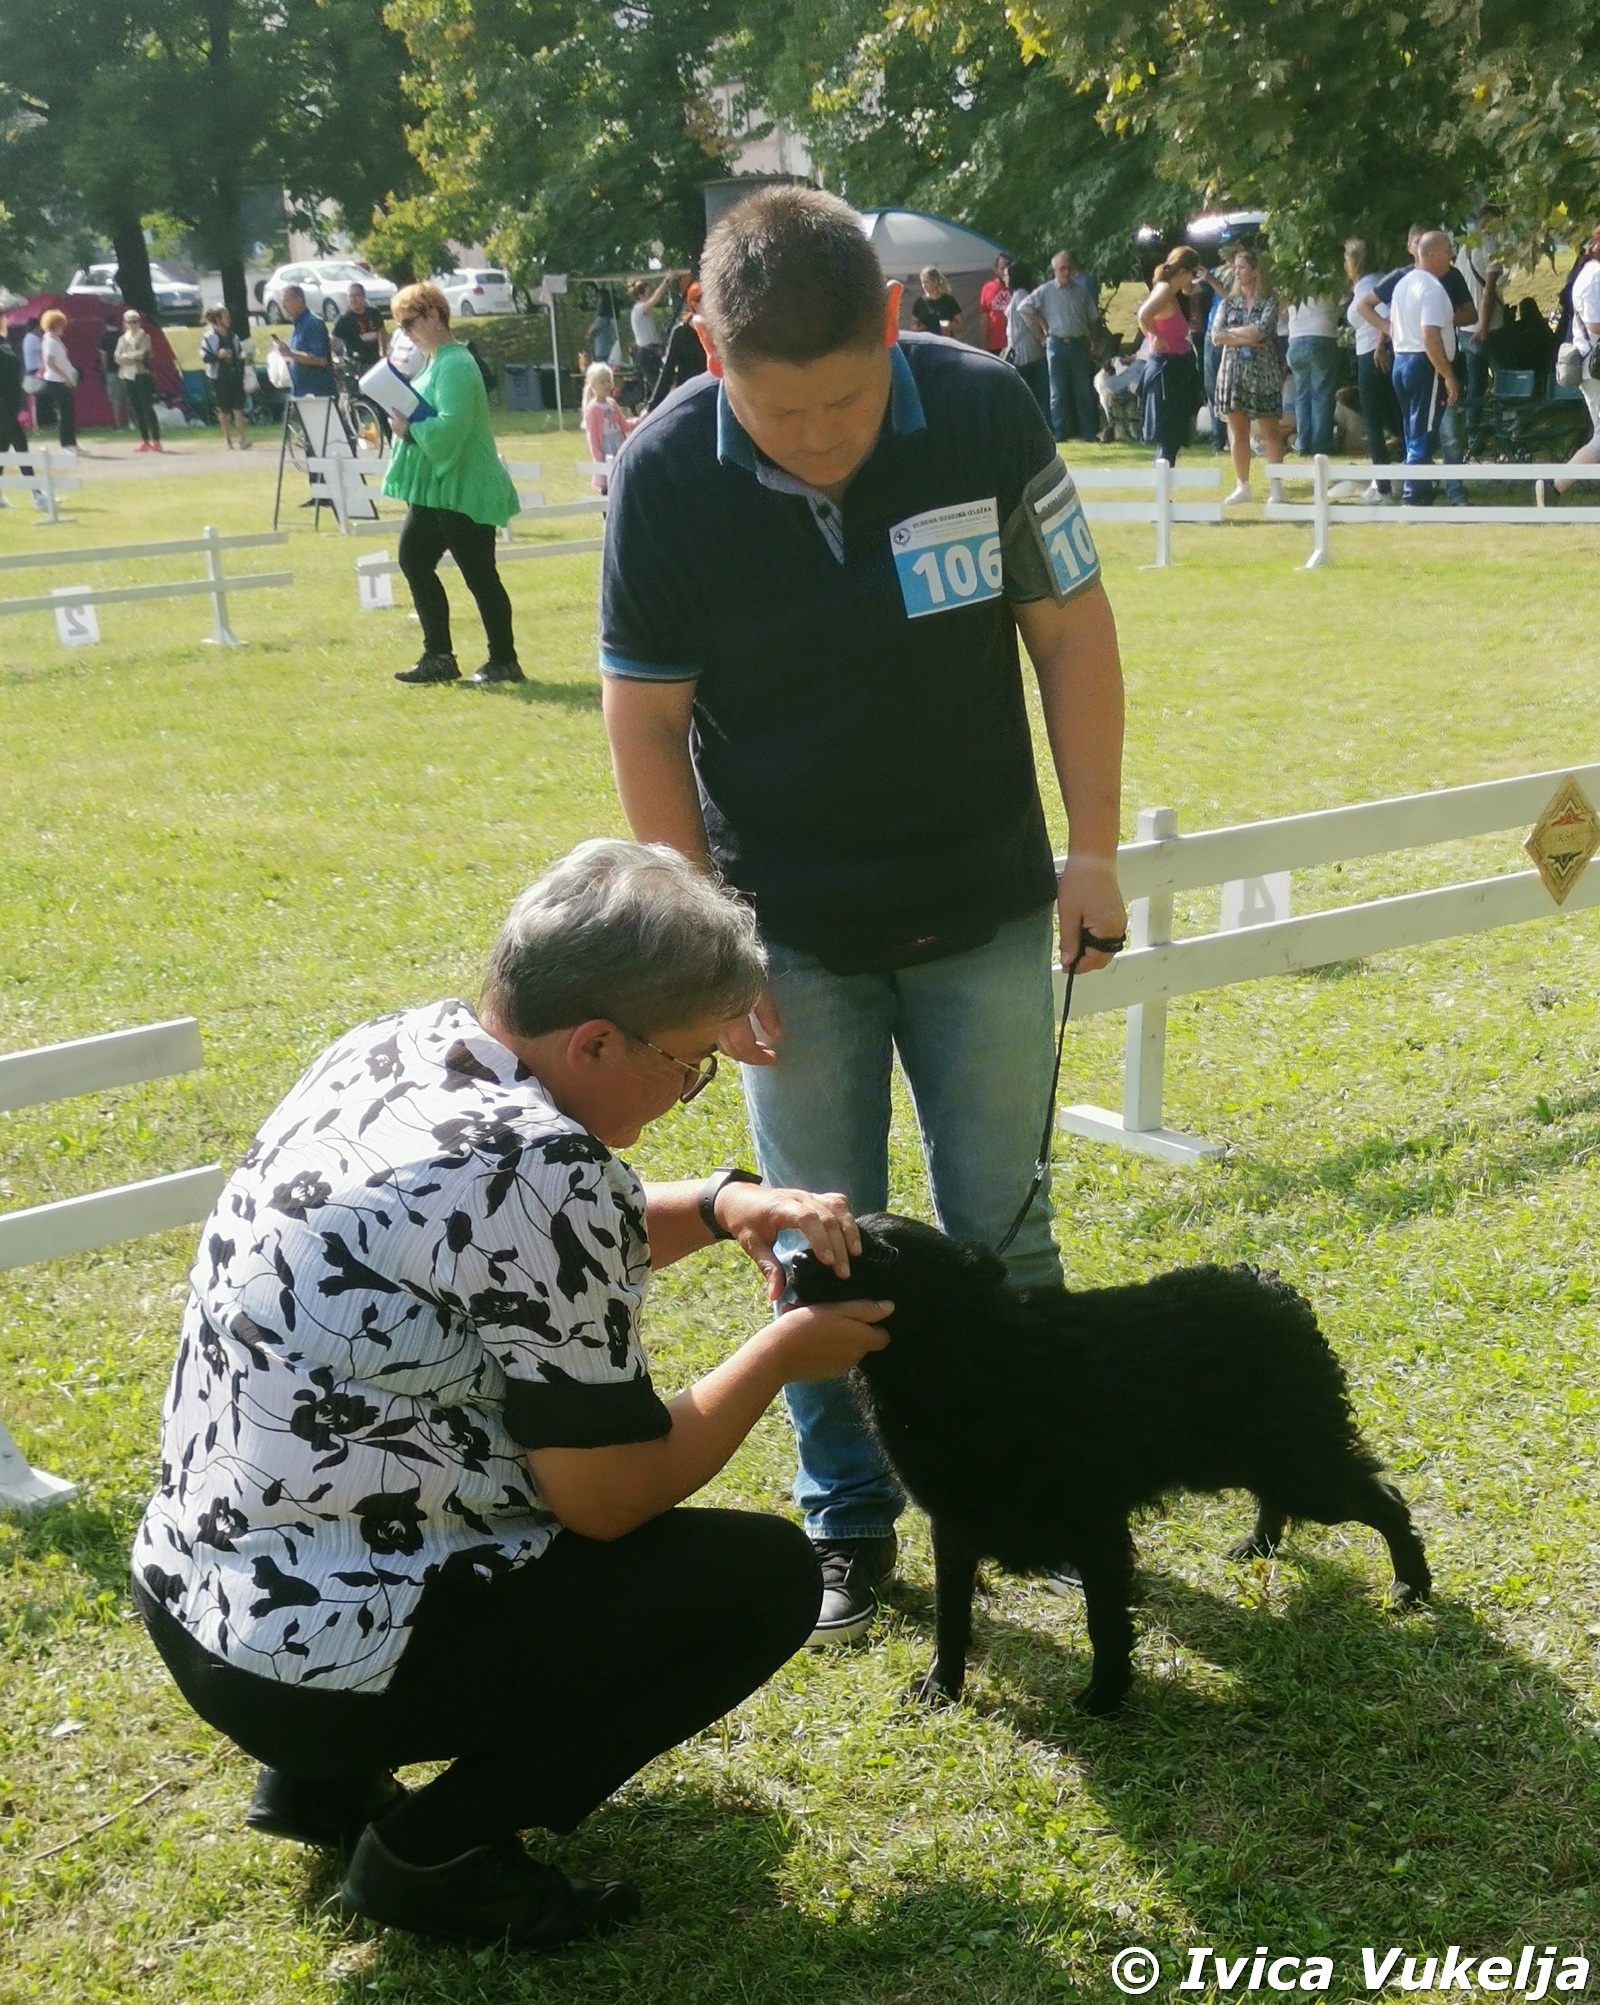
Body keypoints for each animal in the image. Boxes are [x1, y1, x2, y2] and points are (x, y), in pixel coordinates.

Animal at [788, 1213, 1431, 1714]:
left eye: (883, 1253)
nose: (793, 1259)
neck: (976, 1363)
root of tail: (1270, 1285)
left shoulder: (1095, 1529)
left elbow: (1104, 1621)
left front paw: (1105, 1697)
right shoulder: (953, 1529)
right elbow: (951, 1618)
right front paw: (940, 1689)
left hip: (1299, 1464)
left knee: (1387, 1502)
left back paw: (1410, 1586)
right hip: (1254, 1456)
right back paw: (1259, 1545)